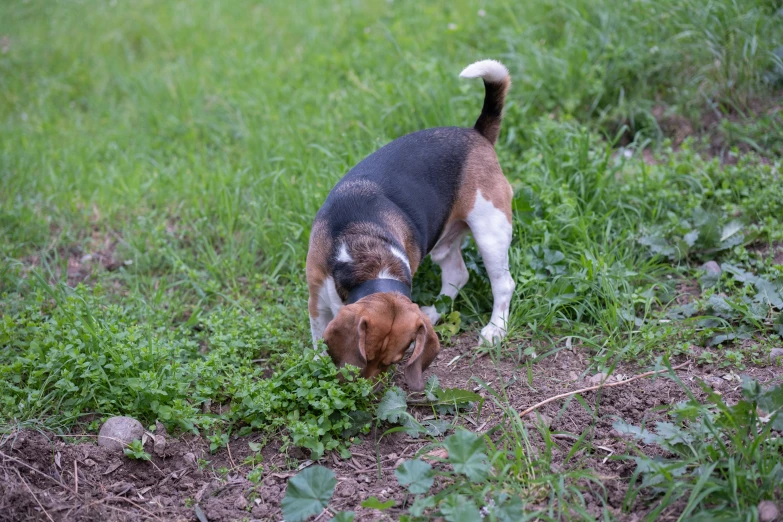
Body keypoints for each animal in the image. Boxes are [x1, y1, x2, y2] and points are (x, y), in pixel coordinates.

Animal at [310, 59, 516, 388]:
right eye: (365, 355)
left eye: (394, 361)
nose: (370, 390)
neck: (368, 254)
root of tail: (477, 135)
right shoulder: (316, 296)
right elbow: (318, 336)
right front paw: (318, 364)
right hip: (445, 241)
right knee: (458, 274)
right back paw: (431, 311)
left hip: (491, 231)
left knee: (504, 284)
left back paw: (495, 328)